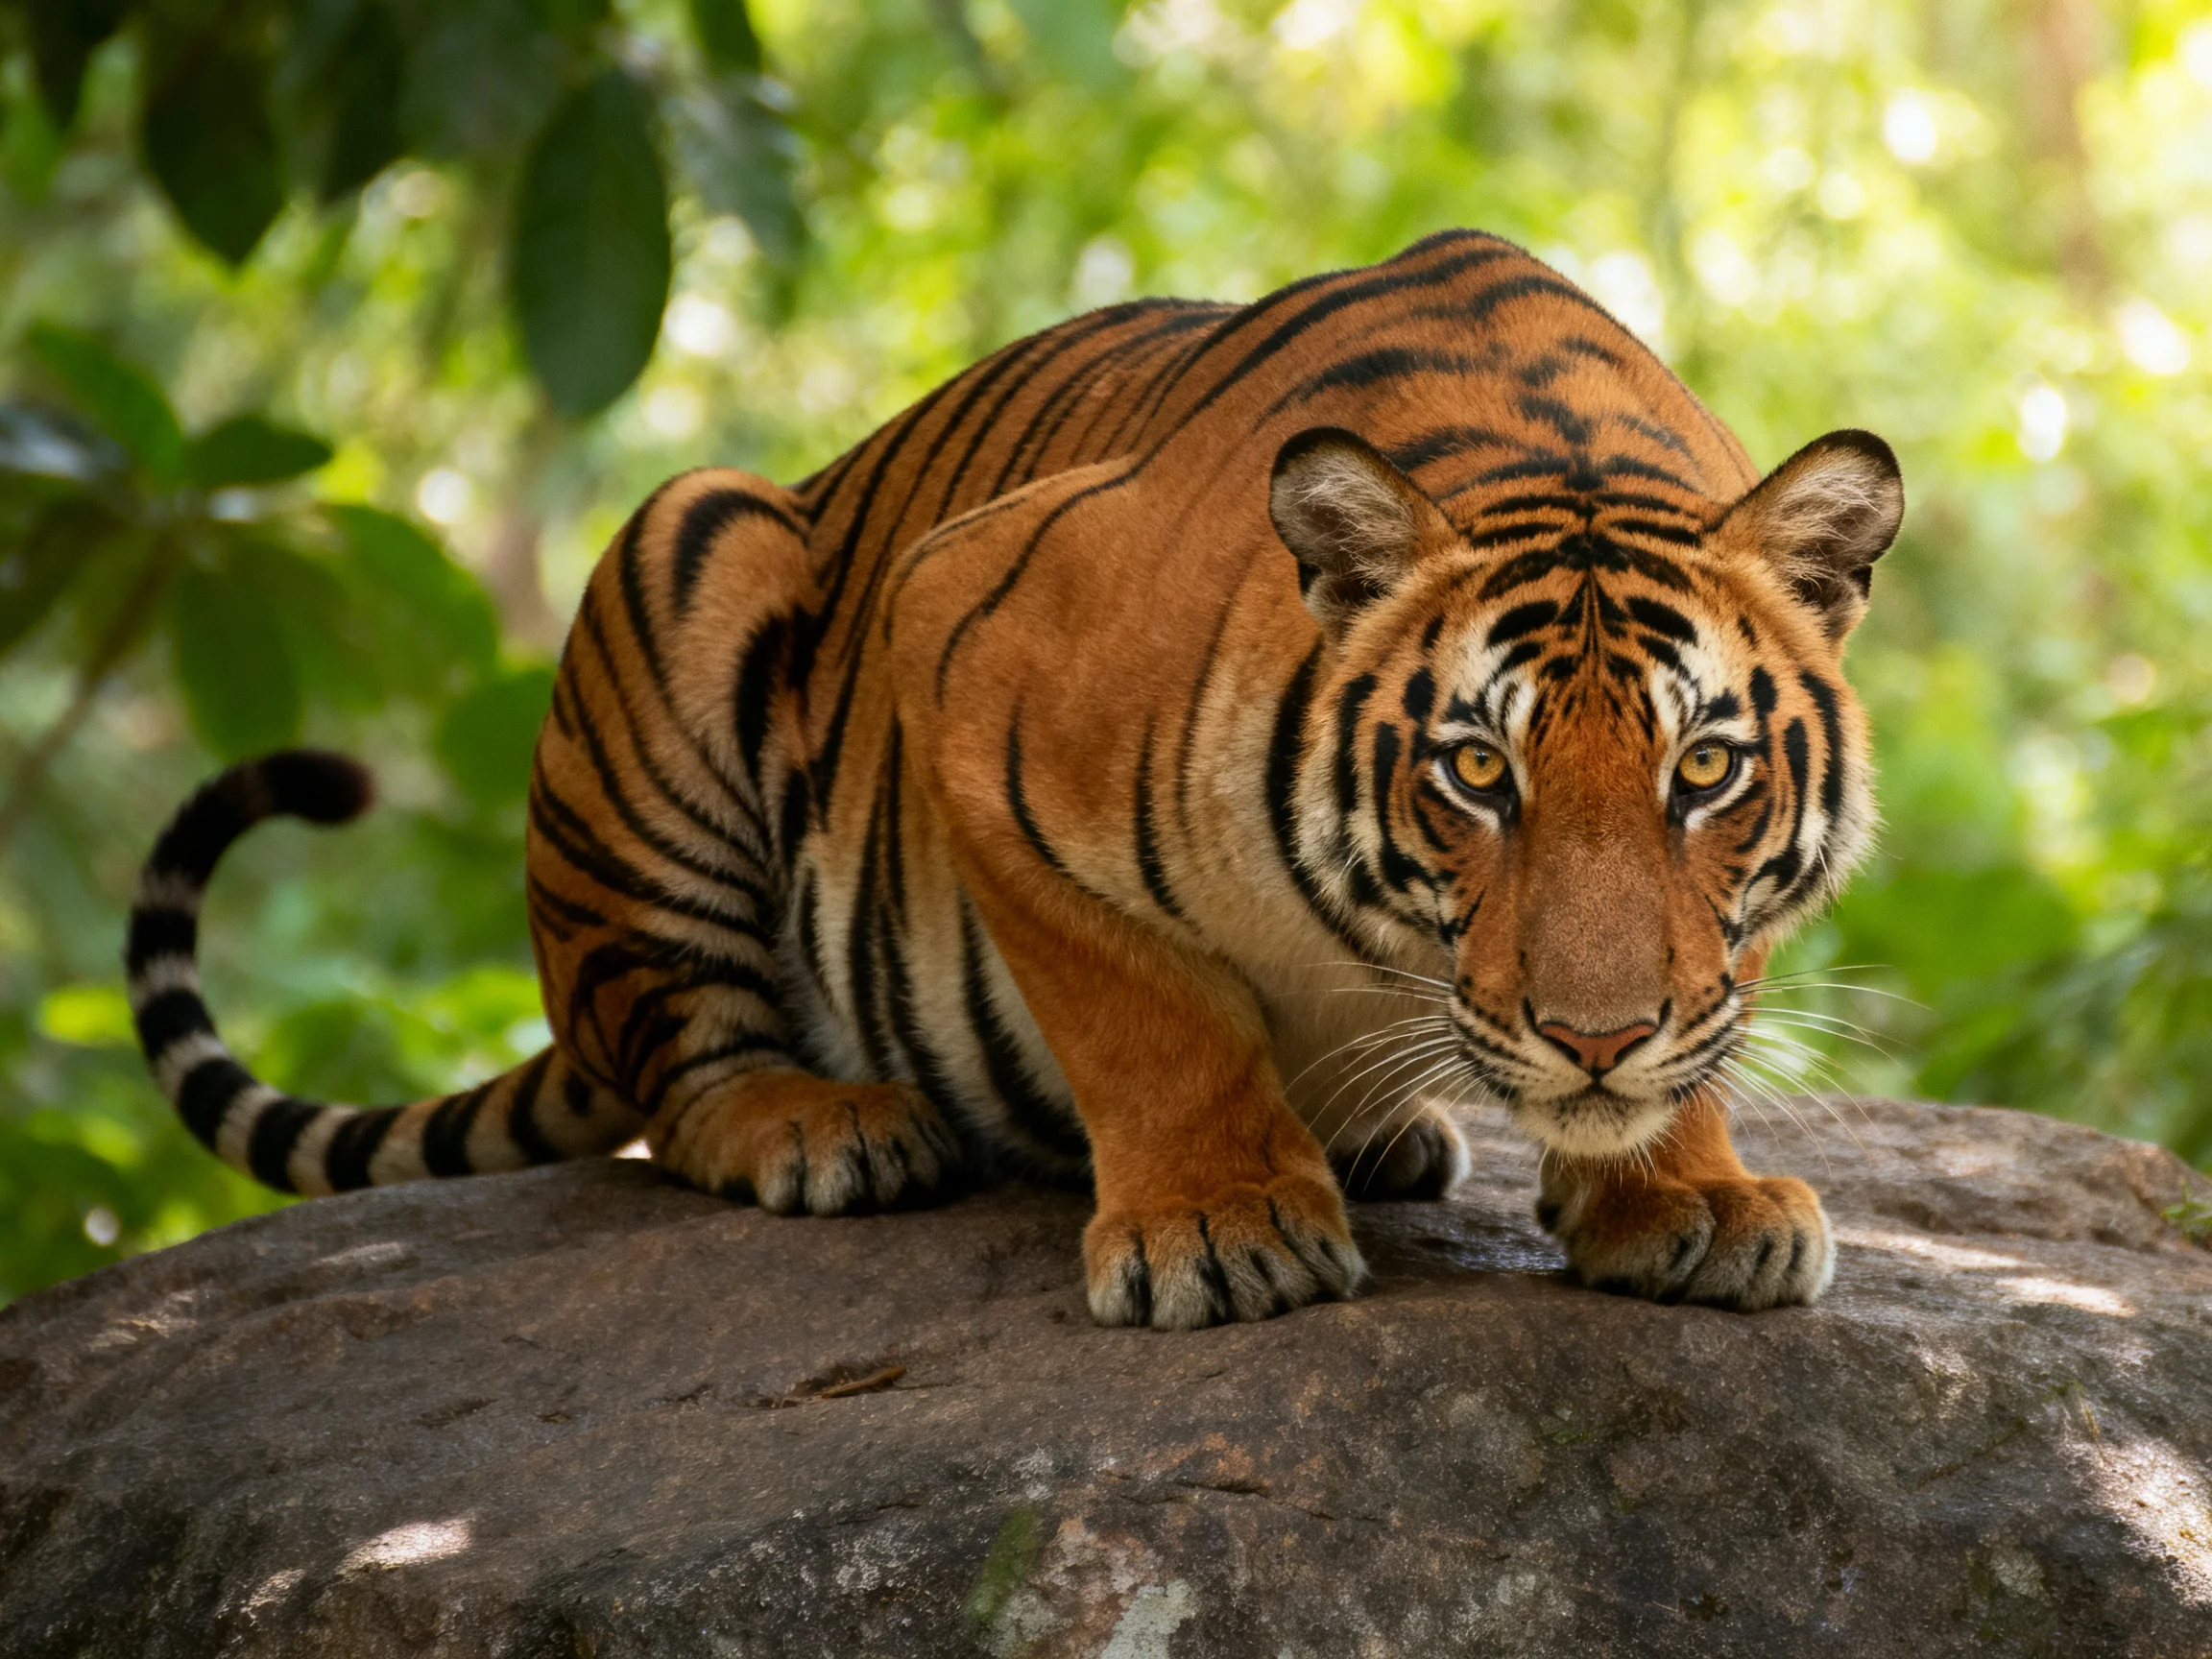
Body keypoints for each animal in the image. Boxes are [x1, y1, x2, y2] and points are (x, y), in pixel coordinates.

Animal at [127, 229, 1902, 1330]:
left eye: (1705, 770)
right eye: (1476, 770)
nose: (1591, 1040)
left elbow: (1704, 1028)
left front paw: (1688, 1195)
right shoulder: (962, 651)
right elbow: (1150, 1017)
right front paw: (1218, 1226)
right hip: (686, 549)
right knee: (681, 1068)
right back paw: (824, 1126)